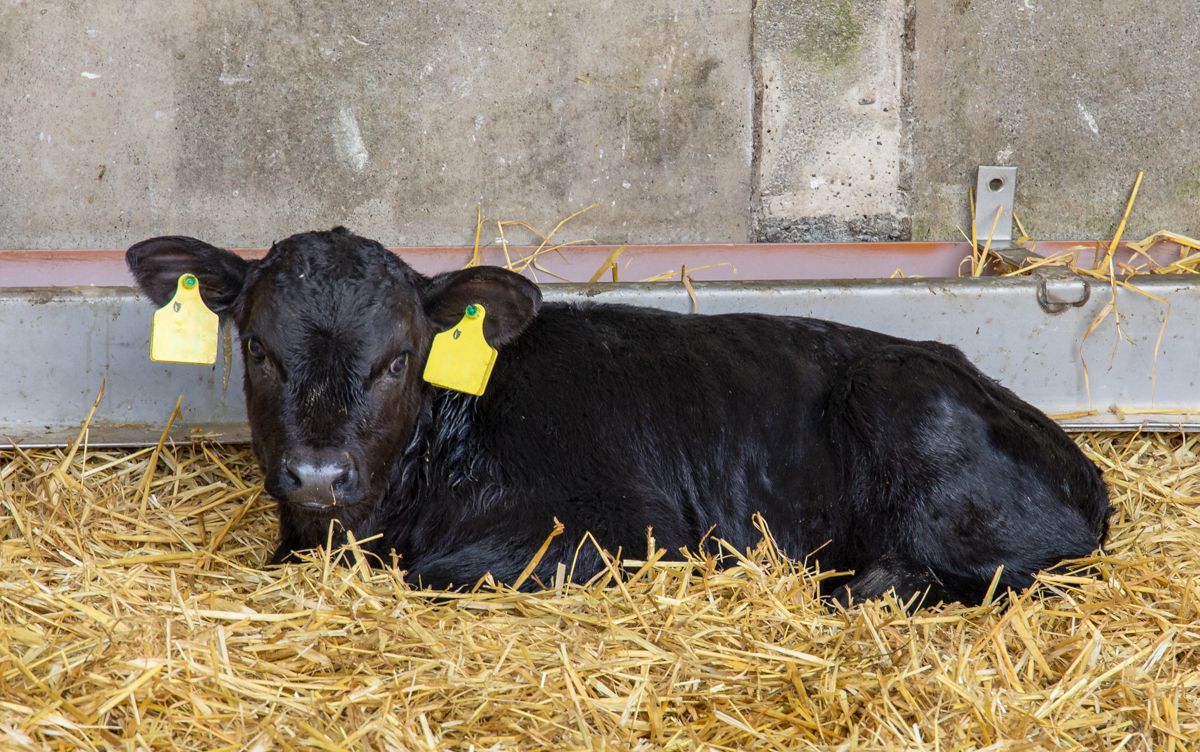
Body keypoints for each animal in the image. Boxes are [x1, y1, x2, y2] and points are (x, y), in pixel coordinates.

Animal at [127, 227, 1111, 606]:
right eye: (259, 348)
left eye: (398, 358)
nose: (320, 474)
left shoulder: (627, 530)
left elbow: (438, 571)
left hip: (899, 397)